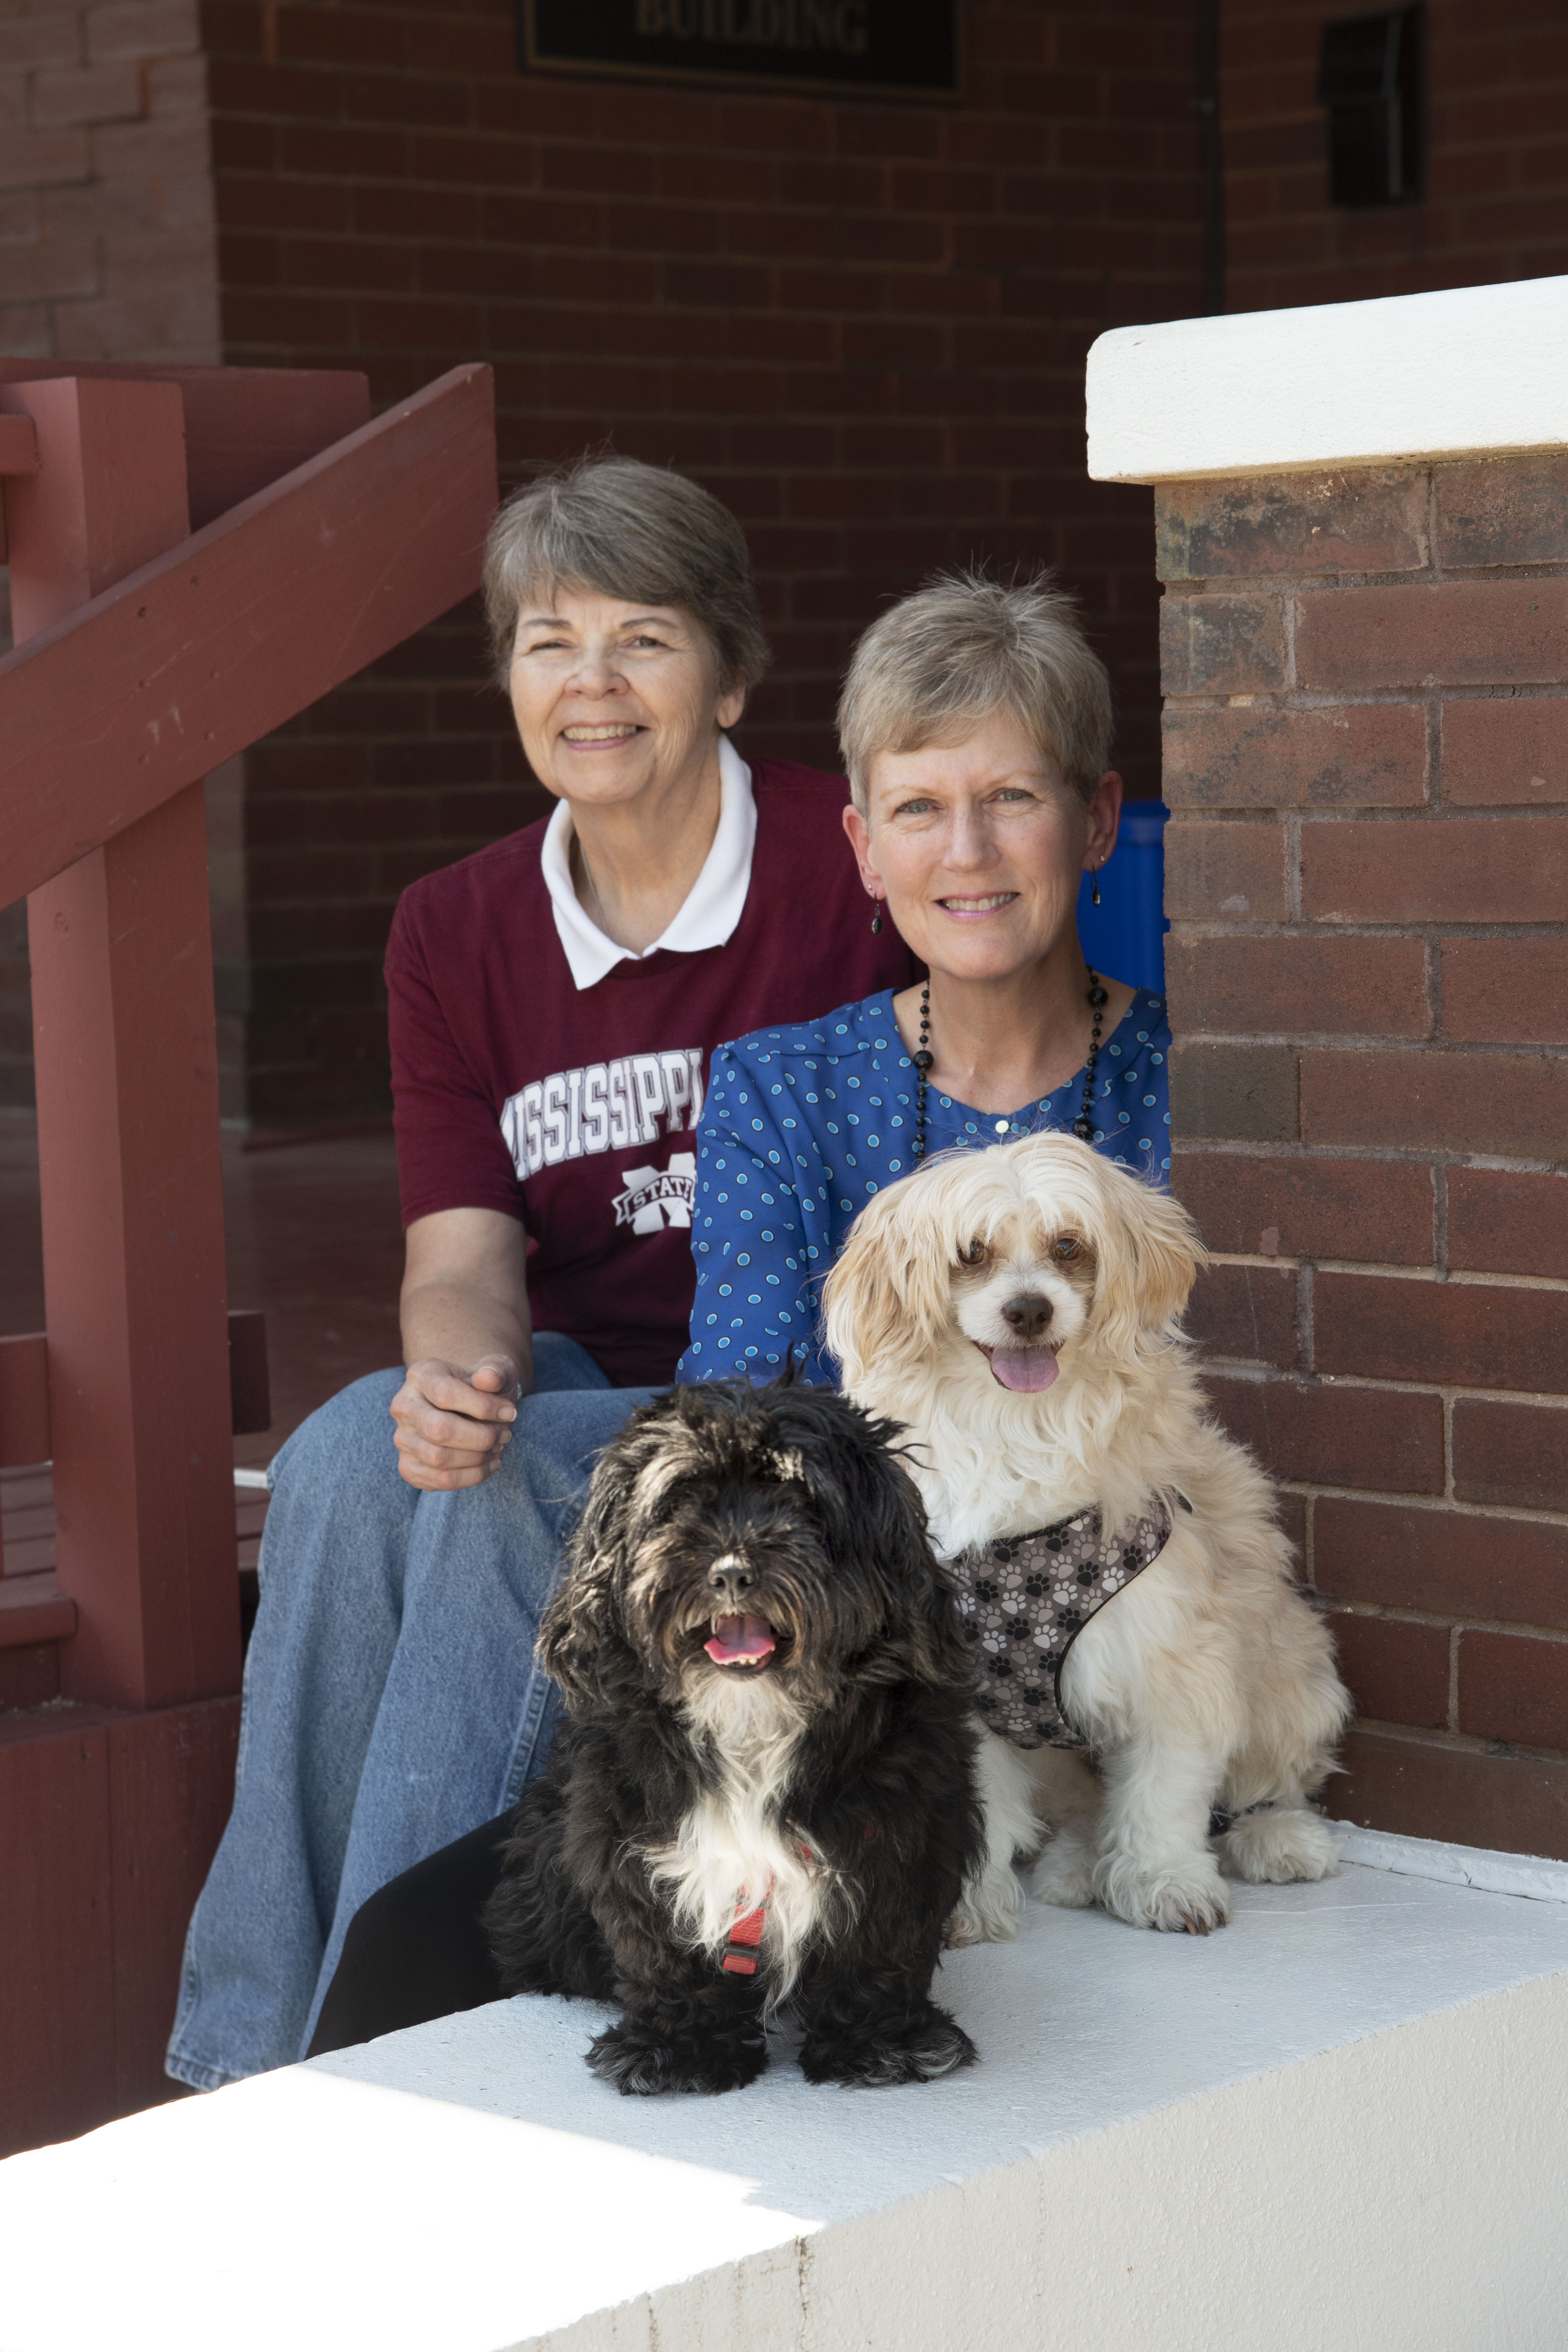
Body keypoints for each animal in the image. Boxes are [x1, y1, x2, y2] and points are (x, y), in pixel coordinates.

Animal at [484, 1374, 987, 2098]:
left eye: (800, 1499)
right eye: (679, 1503)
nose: (730, 1571)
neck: (750, 1722)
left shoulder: (904, 1828)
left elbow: (879, 1946)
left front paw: (881, 2043)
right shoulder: (626, 1835)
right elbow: (661, 1947)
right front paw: (680, 2049)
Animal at [823, 1133, 1354, 1928]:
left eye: (1068, 1245)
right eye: (971, 1252)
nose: (1029, 1309)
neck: (1020, 1428)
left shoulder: (1173, 1658)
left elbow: (1164, 1794)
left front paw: (1165, 1881)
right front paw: (967, 1905)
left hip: (1289, 1676)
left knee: (1262, 1783)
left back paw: (1279, 1836)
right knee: (1080, 1815)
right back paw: (1077, 1865)